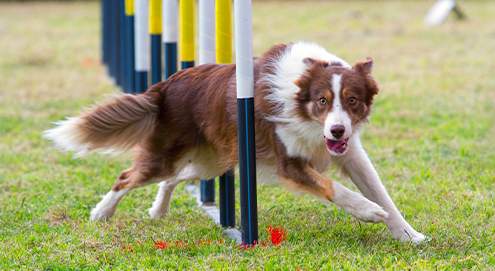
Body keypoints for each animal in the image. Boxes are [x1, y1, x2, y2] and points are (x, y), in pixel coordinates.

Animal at [43, 41, 426, 243]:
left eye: (352, 101)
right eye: (322, 101)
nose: (337, 132)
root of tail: (164, 86)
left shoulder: (352, 155)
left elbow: (383, 194)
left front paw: (409, 234)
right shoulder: (289, 163)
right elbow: (336, 189)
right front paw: (367, 211)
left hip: (215, 160)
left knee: (176, 178)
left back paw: (158, 210)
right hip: (168, 156)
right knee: (128, 177)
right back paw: (102, 212)